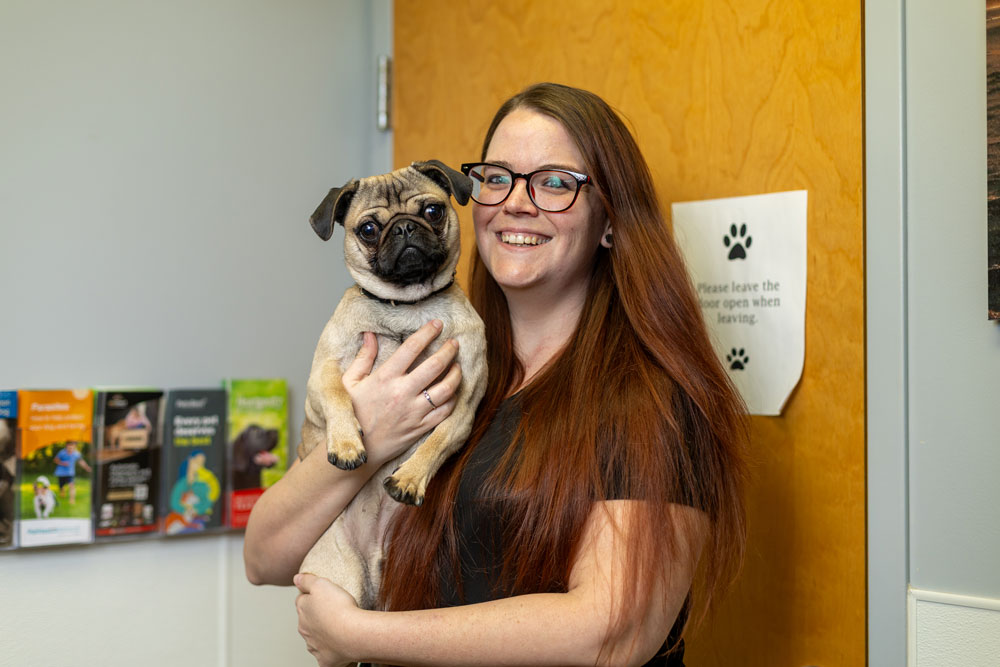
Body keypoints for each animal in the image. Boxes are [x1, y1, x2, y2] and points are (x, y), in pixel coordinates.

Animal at [297, 160, 487, 611]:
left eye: (433, 211)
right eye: (368, 229)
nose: (403, 227)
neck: (408, 308)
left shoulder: (464, 406)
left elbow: (437, 441)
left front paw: (409, 480)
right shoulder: (322, 375)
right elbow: (338, 395)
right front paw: (347, 444)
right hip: (342, 579)